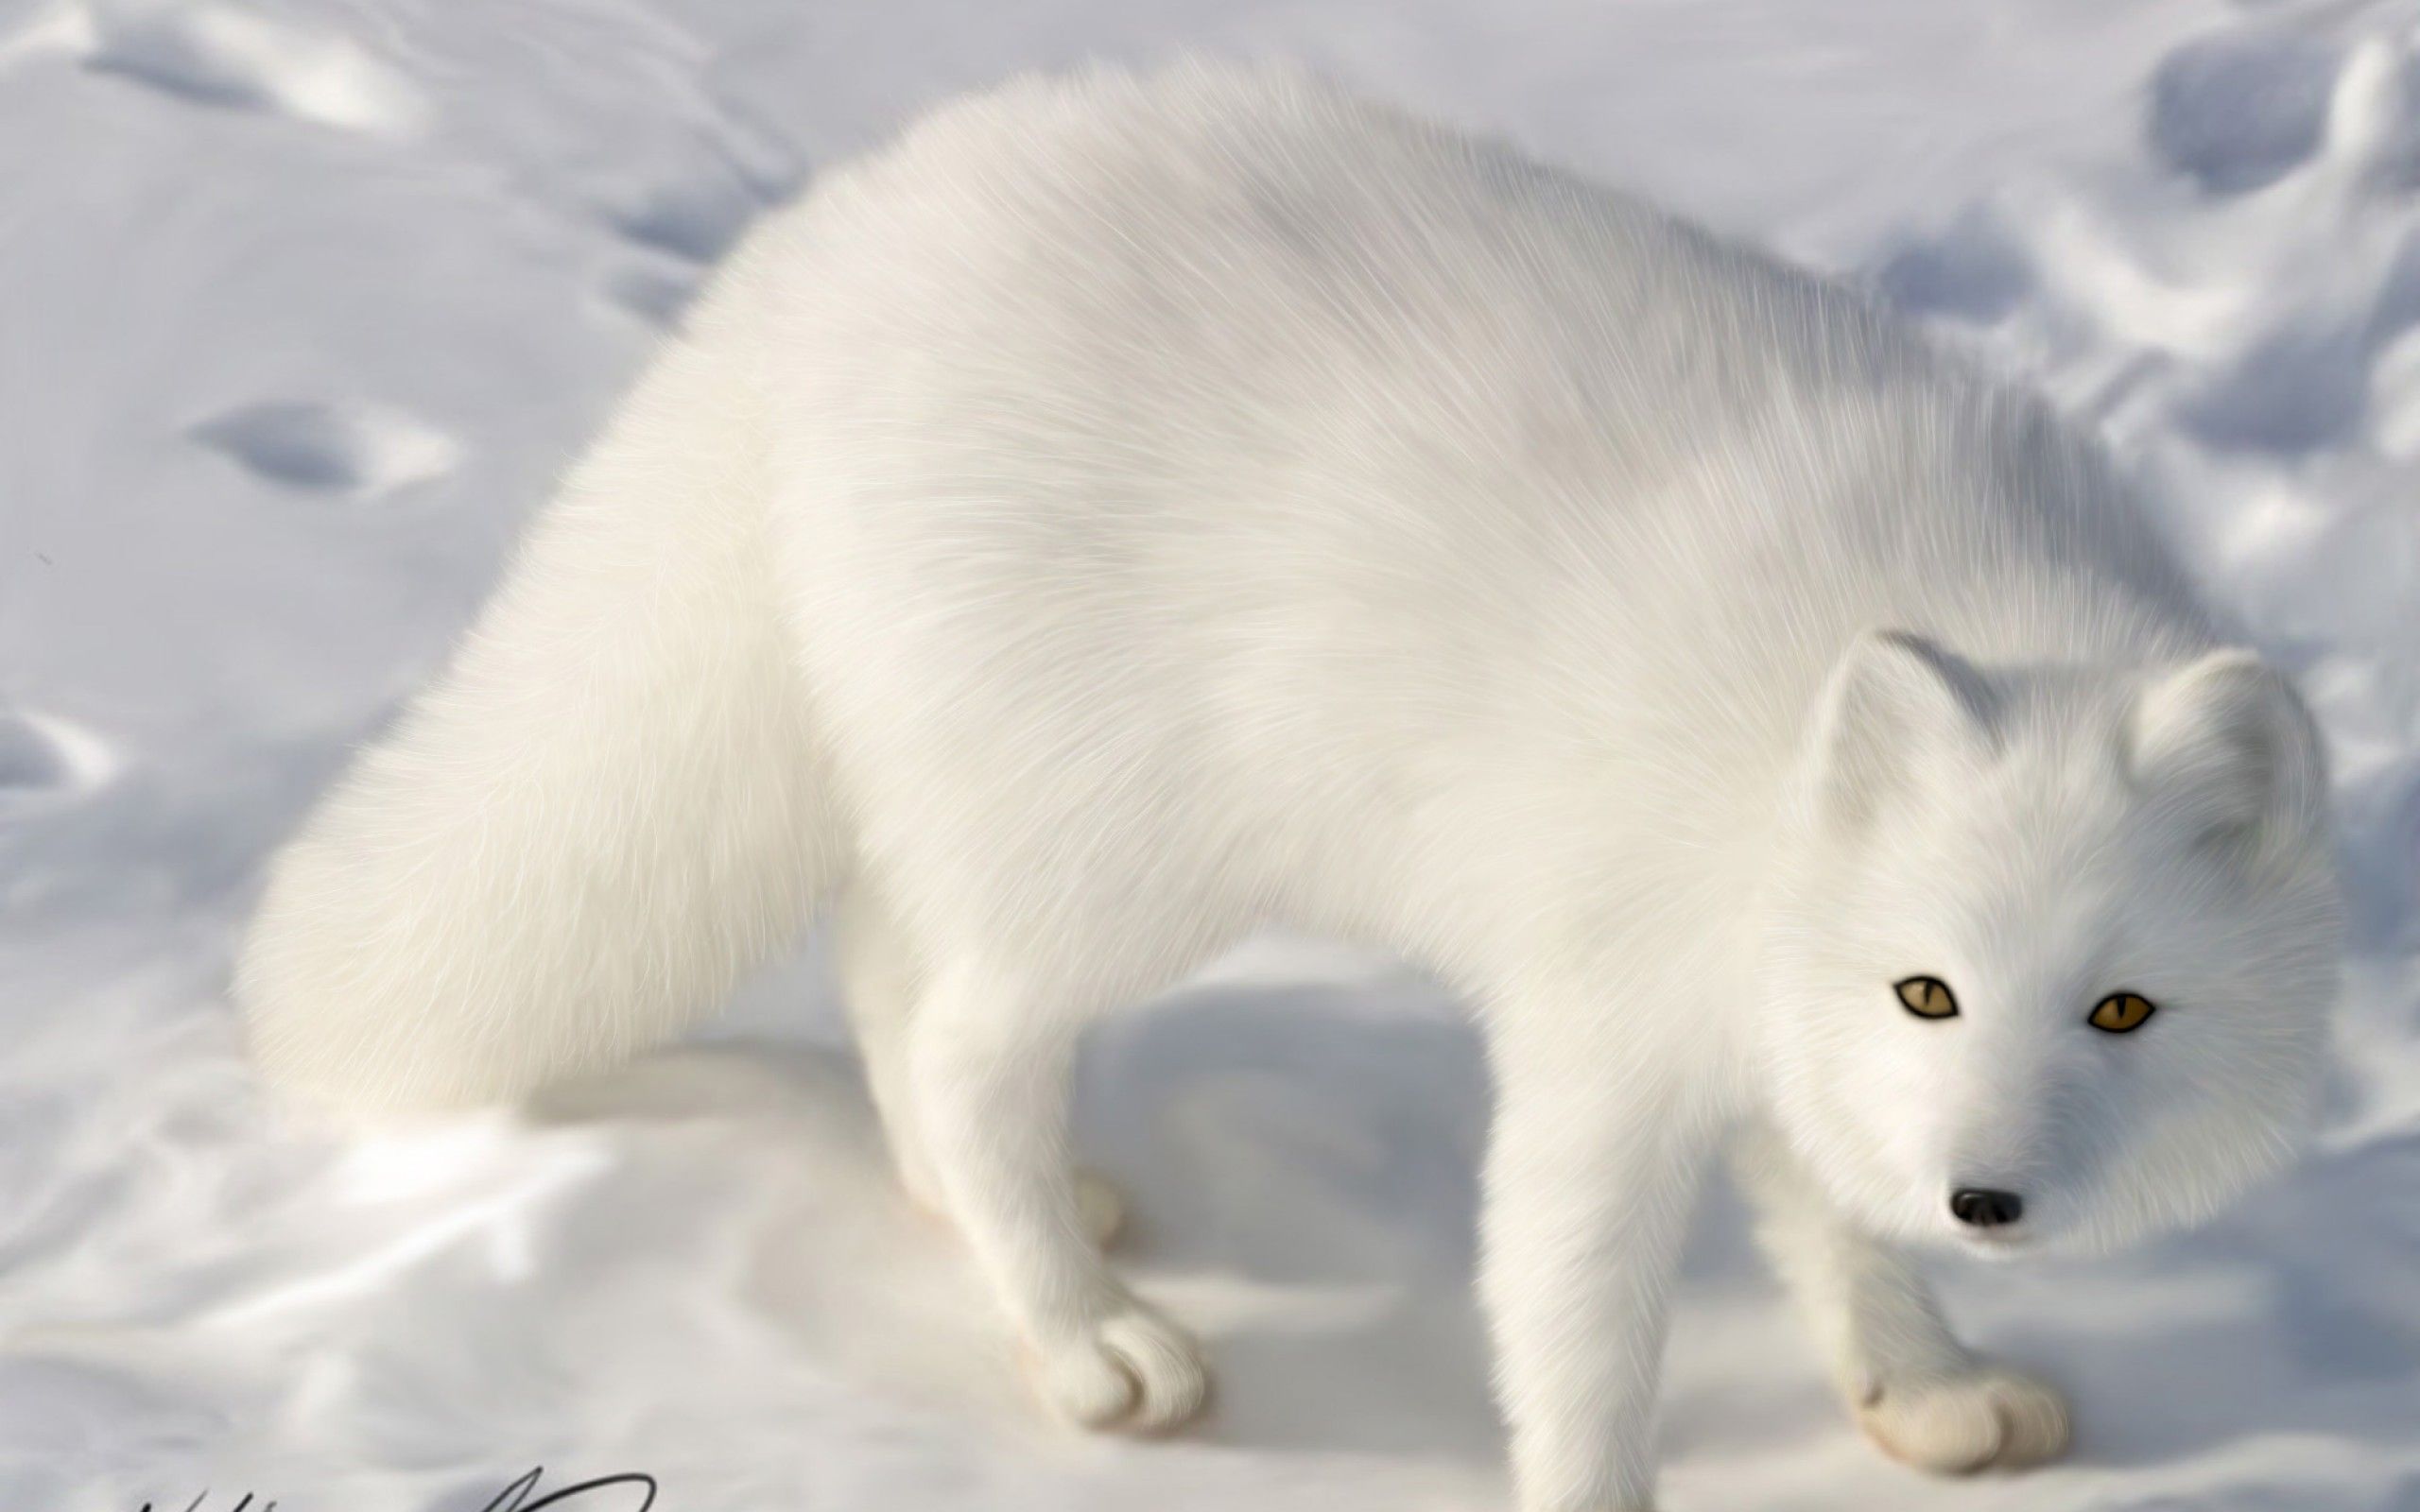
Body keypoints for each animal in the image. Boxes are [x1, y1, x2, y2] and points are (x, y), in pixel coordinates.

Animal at [237, 61, 2344, 1512]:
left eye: (2121, 1008)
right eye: (1930, 986)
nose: (1987, 1194)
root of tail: (829, 242)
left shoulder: (1765, 1025)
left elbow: (1839, 1231)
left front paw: (1921, 1385)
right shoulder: (1603, 1029)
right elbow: (1579, 1325)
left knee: (890, 974)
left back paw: (1006, 1224)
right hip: (1122, 851)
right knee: (959, 1036)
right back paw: (1082, 1337)